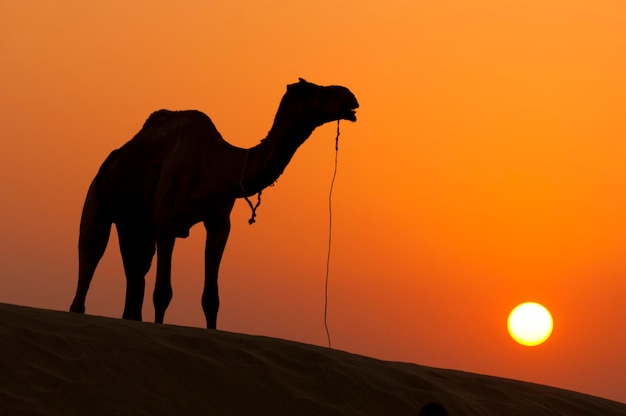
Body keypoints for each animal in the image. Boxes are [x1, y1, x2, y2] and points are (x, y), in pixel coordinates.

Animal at [69, 79, 356, 328]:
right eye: (318, 90)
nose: (350, 96)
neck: (214, 165)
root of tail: (111, 161)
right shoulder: (165, 222)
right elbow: (162, 292)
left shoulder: (218, 224)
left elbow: (211, 299)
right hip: (98, 195)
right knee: (91, 252)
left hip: (135, 224)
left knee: (136, 271)